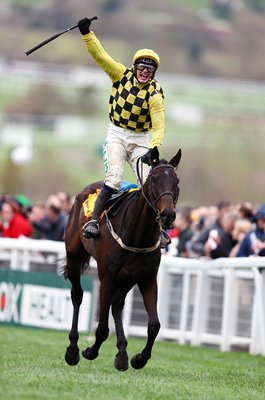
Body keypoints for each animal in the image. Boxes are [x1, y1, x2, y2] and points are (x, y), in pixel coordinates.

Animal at [63, 147, 180, 372]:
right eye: (154, 179)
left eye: (176, 181)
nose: (168, 215)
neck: (137, 234)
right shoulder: (107, 278)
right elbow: (101, 328)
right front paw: (89, 351)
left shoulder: (147, 279)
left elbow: (154, 325)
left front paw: (139, 358)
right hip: (74, 256)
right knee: (77, 295)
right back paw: (73, 349)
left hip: (127, 279)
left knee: (117, 306)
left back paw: (122, 353)